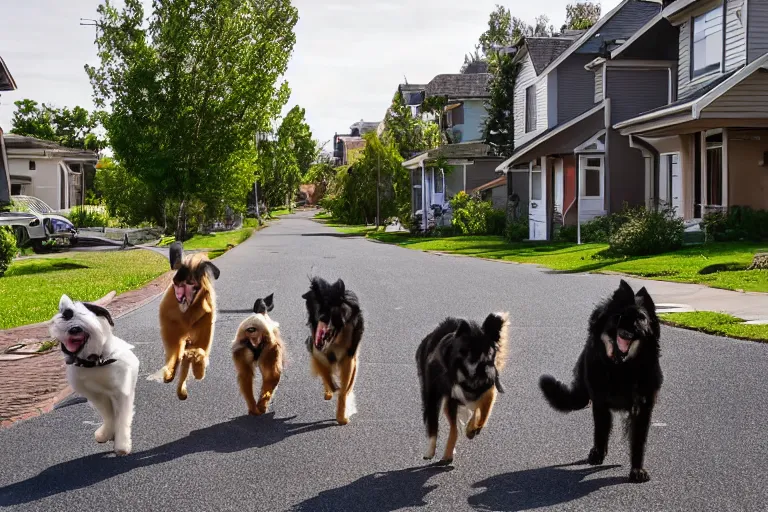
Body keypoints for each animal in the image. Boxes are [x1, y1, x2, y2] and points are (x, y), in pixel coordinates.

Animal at [50, 294, 140, 454]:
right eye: (67, 314)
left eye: (84, 314)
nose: (75, 329)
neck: (95, 361)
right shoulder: (95, 395)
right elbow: (109, 416)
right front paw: (106, 434)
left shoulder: (122, 393)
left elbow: (122, 418)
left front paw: (122, 445)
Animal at [302, 278, 364, 426]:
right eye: (318, 305)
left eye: (331, 307)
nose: (322, 317)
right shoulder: (316, 351)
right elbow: (326, 375)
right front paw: (332, 388)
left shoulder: (349, 358)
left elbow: (344, 391)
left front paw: (342, 416)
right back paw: (329, 391)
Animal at [540, 280, 660, 484]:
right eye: (620, 317)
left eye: (642, 318)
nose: (638, 329)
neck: (622, 368)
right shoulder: (600, 402)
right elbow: (601, 431)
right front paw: (597, 454)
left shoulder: (643, 407)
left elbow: (638, 442)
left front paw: (637, 470)